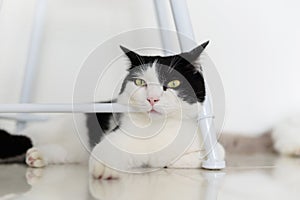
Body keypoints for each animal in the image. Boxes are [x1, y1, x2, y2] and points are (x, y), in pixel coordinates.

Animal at [0, 41, 225, 179]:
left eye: (174, 83)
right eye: (140, 82)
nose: (152, 98)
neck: (158, 130)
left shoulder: (210, 145)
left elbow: (204, 156)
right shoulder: (118, 137)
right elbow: (106, 151)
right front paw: (104, 168)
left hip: (71, 152)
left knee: (58, 152)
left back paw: (36, 157)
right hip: (47, 130)